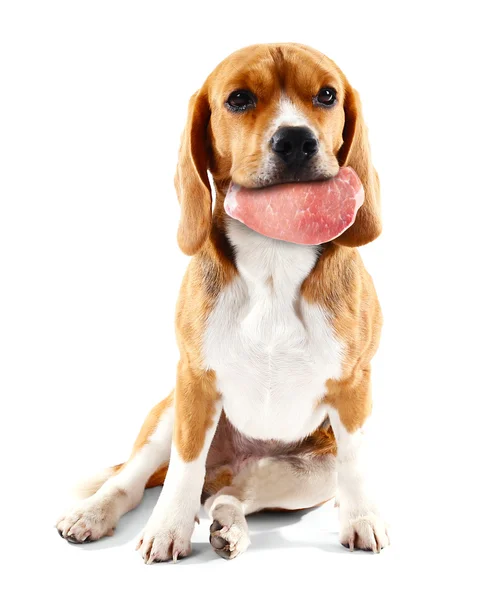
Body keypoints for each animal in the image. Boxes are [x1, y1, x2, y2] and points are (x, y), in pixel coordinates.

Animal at [56, 43, 388, 564]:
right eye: (238, 99)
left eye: (327, 95)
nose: (296, 140)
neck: (274, 253)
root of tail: (232, 463)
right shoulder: (193, 383)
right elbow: (183, 472)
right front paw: (167, 528)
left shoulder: (353, 390)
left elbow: (356, 465)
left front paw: (362, 519)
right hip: (167, 416)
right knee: (137, 481)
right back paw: (94, 512)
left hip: (308, 473)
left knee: (227, 495)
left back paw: (230, 527)